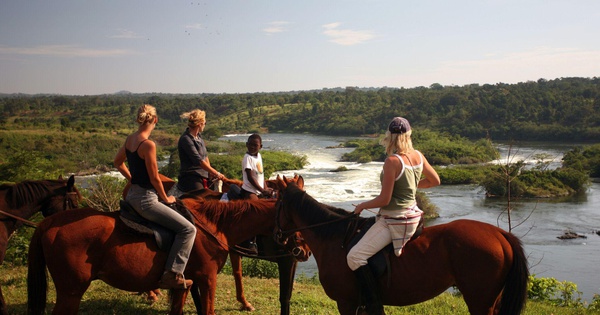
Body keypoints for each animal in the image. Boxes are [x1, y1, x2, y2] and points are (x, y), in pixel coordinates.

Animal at [27, 195, 286, 315]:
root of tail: (50, 223)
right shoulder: (207, 278)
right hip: (71, 292)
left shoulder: (185, 283)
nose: (297, 250)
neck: (213, 225)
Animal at [274, 180, 528, 315]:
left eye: (276, 202)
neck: (336, 238)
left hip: (480, 300)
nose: (278, 236)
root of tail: (500, 234)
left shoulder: (346, 302)